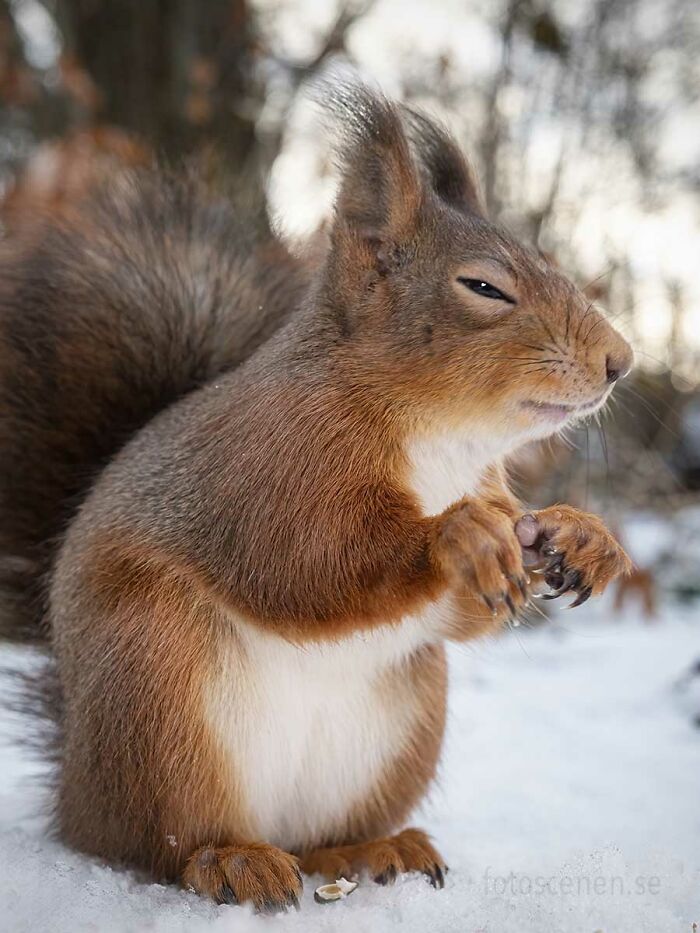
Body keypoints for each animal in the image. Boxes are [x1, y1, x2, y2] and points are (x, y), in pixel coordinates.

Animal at [0, 85, 633, 911]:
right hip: (157, 689)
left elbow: (472, 614)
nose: (621, 360)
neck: (443, 438)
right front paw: (458, 534)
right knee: (157, 842)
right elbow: (307, 563)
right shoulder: (269, 468)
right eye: (485, 286)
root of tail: (75, 789)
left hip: (403, 724)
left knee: (318, 837)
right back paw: (229, 859)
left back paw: (372, 847)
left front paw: (583, 535)